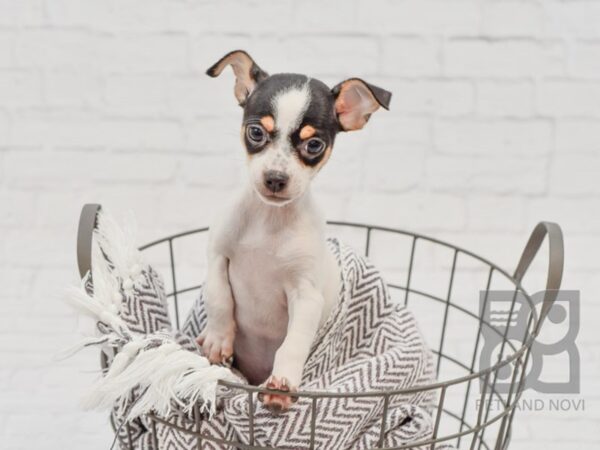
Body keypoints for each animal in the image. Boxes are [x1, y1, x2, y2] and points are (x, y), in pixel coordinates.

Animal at [197, 50, 392, 412]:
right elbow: (218, 299)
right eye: (256, 132)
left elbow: (294, 343)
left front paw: (282, 383)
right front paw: (217, 340)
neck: (268, 222)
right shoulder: (218, 256)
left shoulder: (306, 296)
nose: (275, 178)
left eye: (313, 145)